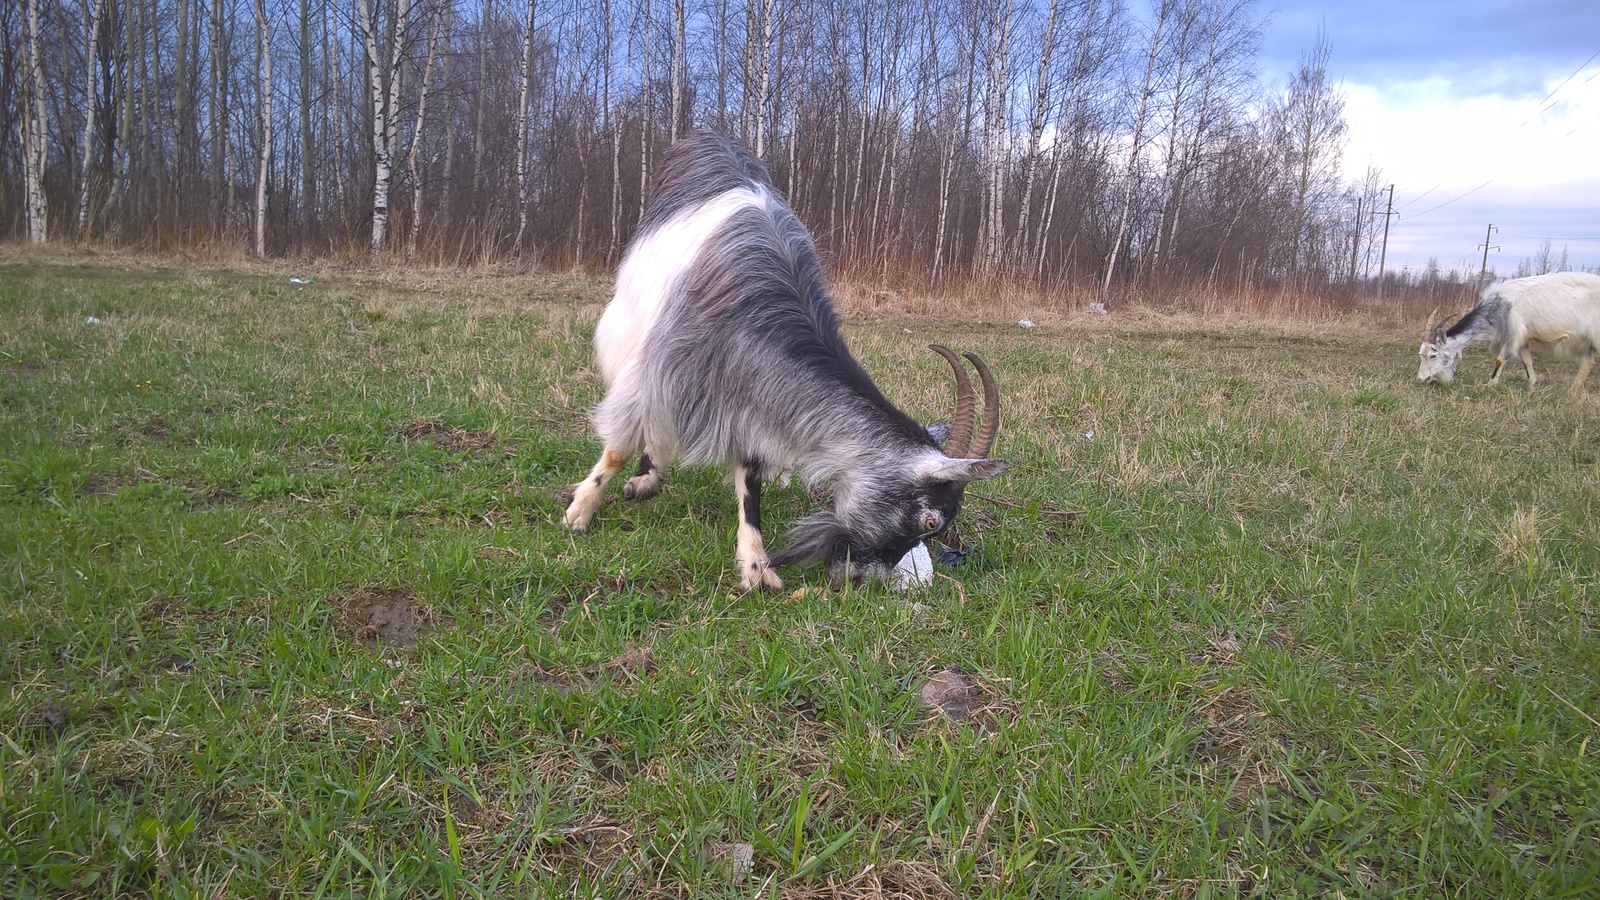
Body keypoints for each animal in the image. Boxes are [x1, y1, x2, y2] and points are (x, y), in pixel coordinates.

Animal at [569, 129, 1004, 586]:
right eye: (929, 520)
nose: (863, 579)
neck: (760, 315)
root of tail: (711, 137)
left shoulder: (749, 391)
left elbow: (750, 474)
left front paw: (756, 565)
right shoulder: (669, 367)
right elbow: (619, 446)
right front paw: (581, 510)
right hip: (629, 326)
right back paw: (644, 477)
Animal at [1414, 267, 1600, 390]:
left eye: (1433, 355)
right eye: (1421, 354)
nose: (1421, 378)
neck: (1499, 304)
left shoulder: (1514, 333)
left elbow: (1500, 359)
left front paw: (1489, 384)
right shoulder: (1523, 340)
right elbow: (1527, 360)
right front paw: (1532, 385)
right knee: (1587, 362)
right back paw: (1573, 391)